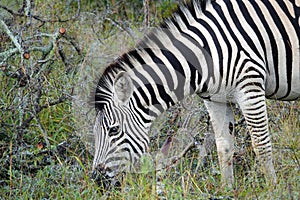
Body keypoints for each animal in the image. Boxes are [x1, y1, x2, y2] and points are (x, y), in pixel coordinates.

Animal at [92, 0, 298, 188]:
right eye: (95, 131)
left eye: (114, 130)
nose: (97, 180)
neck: (206, 54)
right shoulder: (216, 100)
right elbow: (224, 147)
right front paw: (227, 190)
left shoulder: (250, 89)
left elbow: (261, 145)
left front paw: (273, 189)